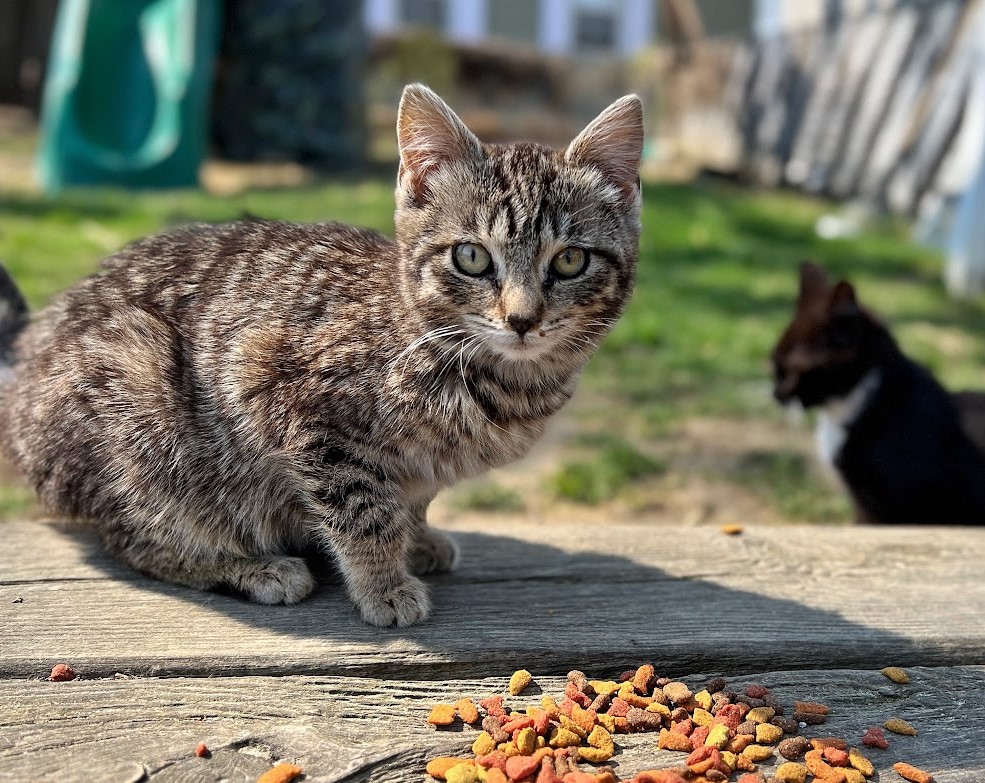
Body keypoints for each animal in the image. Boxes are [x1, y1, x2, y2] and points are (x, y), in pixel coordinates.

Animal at [0, 84, 644, 624]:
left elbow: (410, 498)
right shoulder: (290, 400)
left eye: (570, 260)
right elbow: (361, 509)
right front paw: (383, 582)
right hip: (136, 389)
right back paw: (249, 566)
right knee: (134, 534)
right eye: (471, 257)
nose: (522, 318)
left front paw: (417, 538)